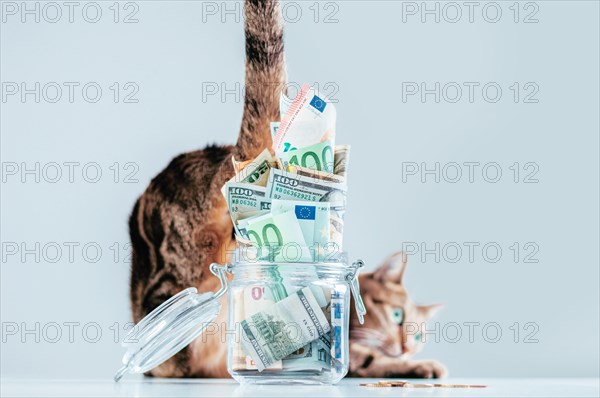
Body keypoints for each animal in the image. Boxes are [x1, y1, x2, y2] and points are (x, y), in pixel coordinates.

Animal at [127, 0, 446, 380]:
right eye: (397, 316)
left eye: (419, 333)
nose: (409, 346)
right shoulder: (356, 346)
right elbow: (371, 361)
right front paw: (422, 366)